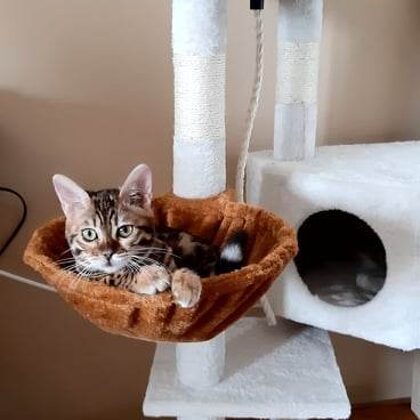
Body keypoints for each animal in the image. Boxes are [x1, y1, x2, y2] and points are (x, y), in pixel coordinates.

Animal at [52, 164, 247, 308]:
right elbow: (112, 274)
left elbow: (176, 268)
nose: (107, 254)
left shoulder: (166, 250)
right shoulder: (83, 274)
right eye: (89, 234)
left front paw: (187, 282)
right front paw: (150, 276)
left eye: (125, 230)